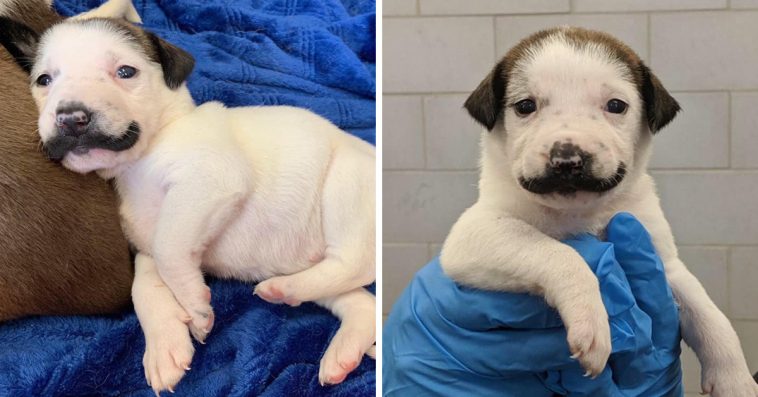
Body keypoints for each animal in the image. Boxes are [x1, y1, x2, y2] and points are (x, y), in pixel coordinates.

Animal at [22, 11, 378, 390]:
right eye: (44, 80)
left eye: (126, 72)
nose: (70, 118)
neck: (138, 162)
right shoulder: (144, 240)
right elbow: (144, 285)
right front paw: (165, 344)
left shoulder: (208, 180)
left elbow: (169, 248)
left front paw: (194, 305)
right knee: (361, 303)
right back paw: (334, 341)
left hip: (346, 186)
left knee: (353, 260)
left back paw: (283, 288)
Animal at [440, 26, 758, 394]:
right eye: (525, 106)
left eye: (616, 105)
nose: (567, 159)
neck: (579, 211)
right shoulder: (474, 234)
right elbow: (555, 252)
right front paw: (590, 319)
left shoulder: (664, 263)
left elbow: (709, 314)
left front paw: (735, 379)